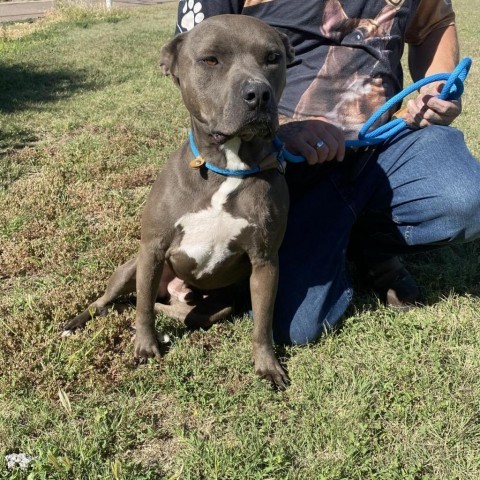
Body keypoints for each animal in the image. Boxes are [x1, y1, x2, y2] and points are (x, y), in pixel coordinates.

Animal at [62, 15, 296, 390]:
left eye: (273, 58)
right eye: (210, 60)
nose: (259, 93)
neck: (226, 165)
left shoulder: (265, 262)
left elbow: (263, 323)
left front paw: (268, 366)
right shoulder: (153, 249)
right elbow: (143, 309)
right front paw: (145, 347)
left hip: (216, 306)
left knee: (181, 314)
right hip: (130, 268)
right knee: (115, 300)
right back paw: (78, 322)